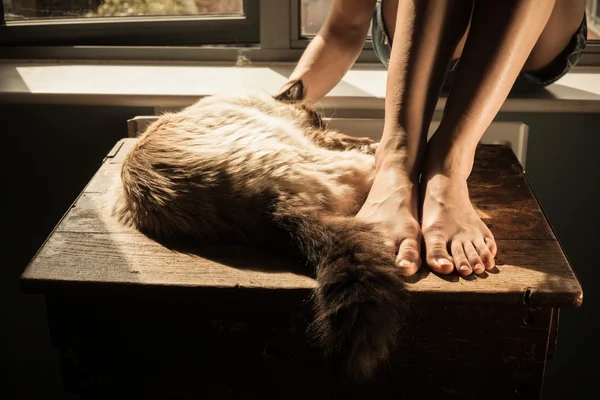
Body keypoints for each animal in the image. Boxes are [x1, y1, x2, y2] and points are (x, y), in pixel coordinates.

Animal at [112, 79, 408, 380]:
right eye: (316, 120)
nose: (317, 126)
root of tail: (273, 209)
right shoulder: (313, 135)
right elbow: (343, 139)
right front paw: (367, 143)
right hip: (311, 154)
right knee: (366, 170)